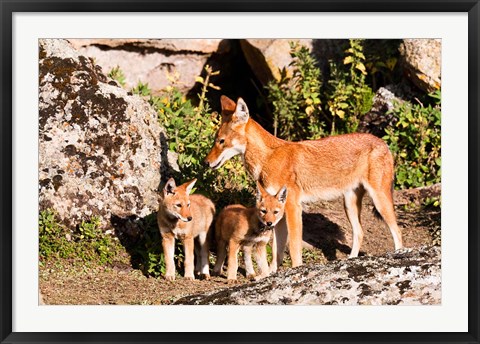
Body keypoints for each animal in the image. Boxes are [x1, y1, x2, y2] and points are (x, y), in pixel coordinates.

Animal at [204, 94, 404, 272]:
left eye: (221, 141)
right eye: (215, 140)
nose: (205, 162)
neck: (268, 159)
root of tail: (384, 143)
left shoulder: (293, 207)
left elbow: (293, 247)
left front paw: (296, 270)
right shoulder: (276, 212)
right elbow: (276, 251)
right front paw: (272, 273)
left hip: (379, 201)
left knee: (398, 233)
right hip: (349, 204)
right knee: (360, 233)